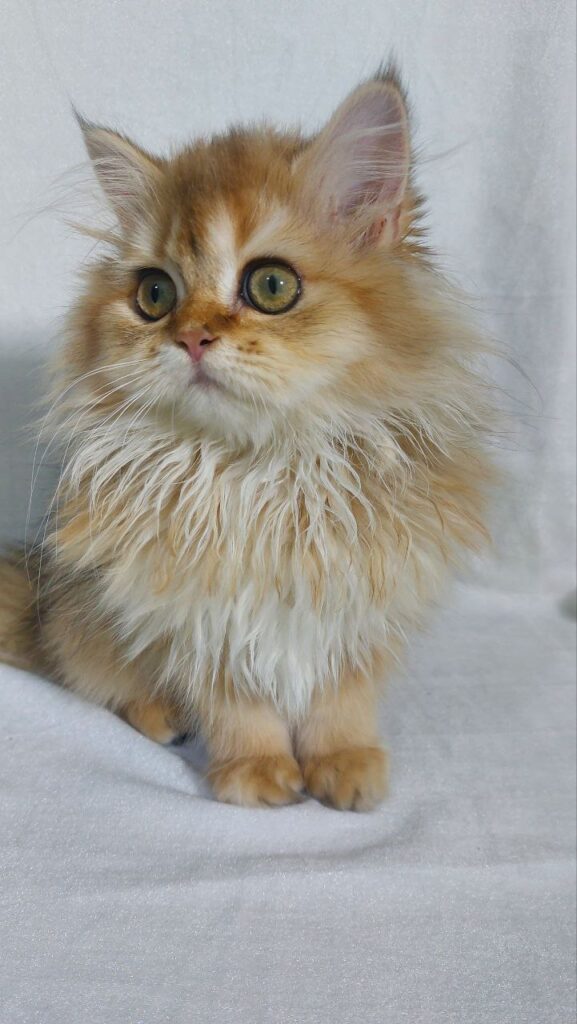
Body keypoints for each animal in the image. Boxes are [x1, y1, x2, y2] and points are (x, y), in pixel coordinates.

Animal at [0, 70, 491, 806]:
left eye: (271, 285)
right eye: (154, 295)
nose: (191, 338)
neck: (262, 467)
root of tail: (40, 608)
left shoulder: (359, 602)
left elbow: (340, 701)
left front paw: (343, 764)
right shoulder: (196, 614)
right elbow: (239, 707)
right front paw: (255, 774)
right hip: (88, 618)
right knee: (98, 679)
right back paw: (163, 716)